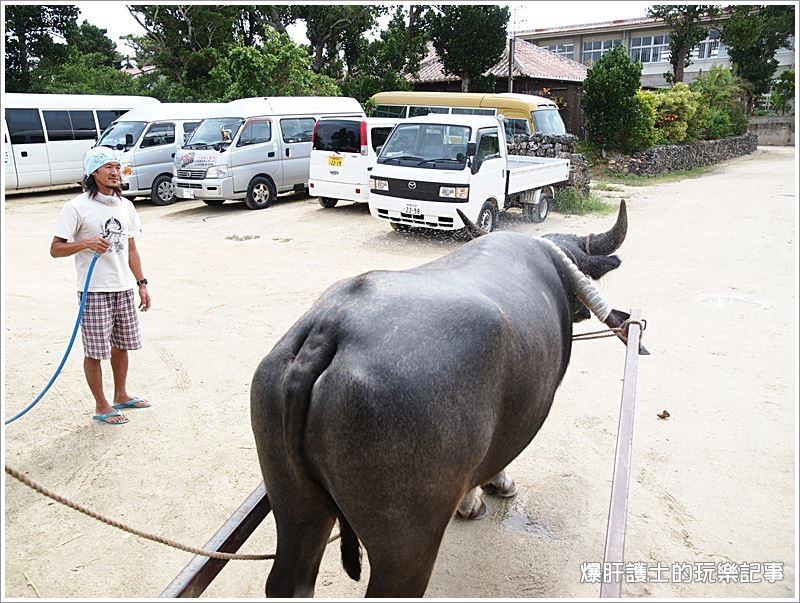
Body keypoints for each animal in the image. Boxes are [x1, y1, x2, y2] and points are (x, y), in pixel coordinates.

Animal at [253, 201, 636, 596]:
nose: (583, 312)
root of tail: (329, 329)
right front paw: (488, 493)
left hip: (296, 507)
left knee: (290, 579)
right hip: (406, 543)